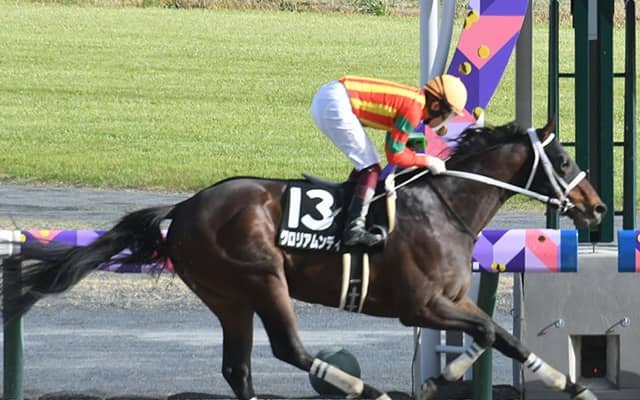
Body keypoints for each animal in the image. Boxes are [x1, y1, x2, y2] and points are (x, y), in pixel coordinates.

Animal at [1, 118, 606, 400]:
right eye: (564, 158)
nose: (597, 207)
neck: (443, 206)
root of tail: (186, 206)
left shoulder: (453, 299)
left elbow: (501, 337)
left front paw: (572, 383)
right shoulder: (420, 306)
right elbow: (483, 334)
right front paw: (438, 380)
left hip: (228, 297)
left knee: (238, 366)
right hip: (261, 277)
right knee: (288, 349)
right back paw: (368, 390)